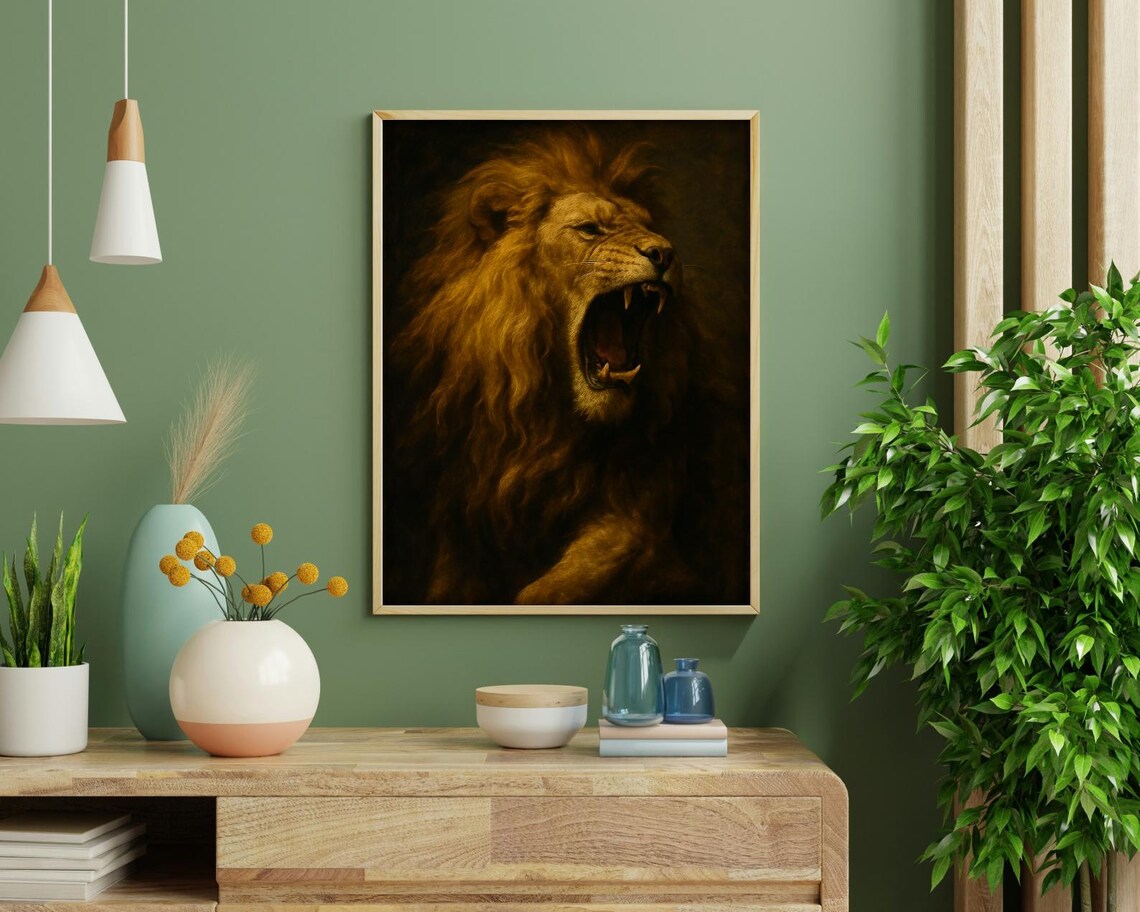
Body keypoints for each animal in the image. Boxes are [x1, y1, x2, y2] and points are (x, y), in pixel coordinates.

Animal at [386, 128, 749, 606]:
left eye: (652, 228)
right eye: (590, 229)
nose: (665, 253)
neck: (545, 418)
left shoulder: (639, 523)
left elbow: (550, 591)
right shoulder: (458, 520)